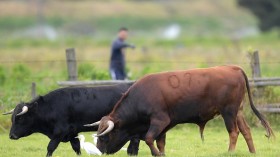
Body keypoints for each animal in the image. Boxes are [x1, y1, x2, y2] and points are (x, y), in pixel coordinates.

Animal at [2, 83, 140, 156]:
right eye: (12, 118)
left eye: (21, 118)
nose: (11, 135)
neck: (51, 107)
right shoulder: (72, 134)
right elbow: (77, 147)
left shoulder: (59, 133)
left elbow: (50, 147)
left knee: (134, 144)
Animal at [87, 65, 274, 156]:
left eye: (104, 137)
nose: (99, 151)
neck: (141, 96)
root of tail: (233, 68)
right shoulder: (164, 125)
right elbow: (160, 142)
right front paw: (161, 153)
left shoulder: (159, 120)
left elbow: (149, 138)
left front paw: (157, 154)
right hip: (238, 112)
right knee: (246, 131)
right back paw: (252, 152)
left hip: (228, 112)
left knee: (234, 132)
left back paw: (230, 152)